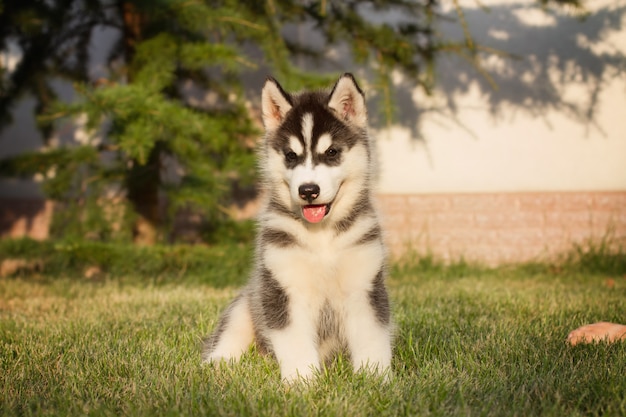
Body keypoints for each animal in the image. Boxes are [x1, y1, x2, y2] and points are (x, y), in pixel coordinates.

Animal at [202, 72, 390, 380]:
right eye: (291, 156)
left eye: (332, 152)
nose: (308, 190)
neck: (322, 237)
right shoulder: (283, 288)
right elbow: (294, 341)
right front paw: (302, 381)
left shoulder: (364, 285)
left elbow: (372, 337)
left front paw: (374, 378)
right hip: (247, 301)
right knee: (230, 333)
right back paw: (218, 363)